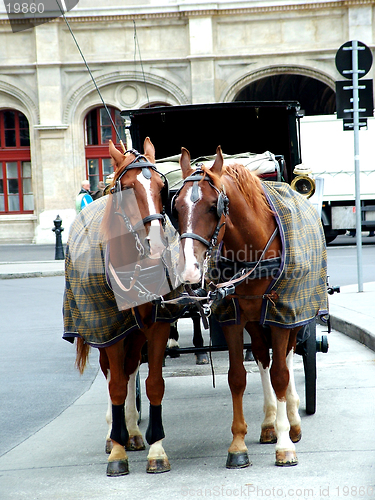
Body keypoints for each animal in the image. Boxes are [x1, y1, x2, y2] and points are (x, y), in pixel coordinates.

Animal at [63, 139, 178, 474]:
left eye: (161, 187)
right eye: (126, 188)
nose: (157, 243)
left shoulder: (157, 324)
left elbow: (153, 384)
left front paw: (156, 448)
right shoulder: (108, 330)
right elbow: (114, 385)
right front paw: (116, 450)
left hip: (135, 332)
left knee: (129, 369)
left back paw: (133, 431)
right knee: (112, 374)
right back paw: (115, 433)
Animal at [174, 146, 328, 466]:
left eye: (214, 206)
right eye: (177, 207)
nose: (190, 270)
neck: (253, 251)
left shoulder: (283, 314)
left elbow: (282, 374)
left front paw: (285, 444)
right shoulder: (233, 317)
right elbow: (237, 377)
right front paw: (238, 445)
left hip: (293, 314)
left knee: (288, 357)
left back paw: (292, 419)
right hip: (256, 319)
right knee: (261, 355)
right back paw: (270, 422)